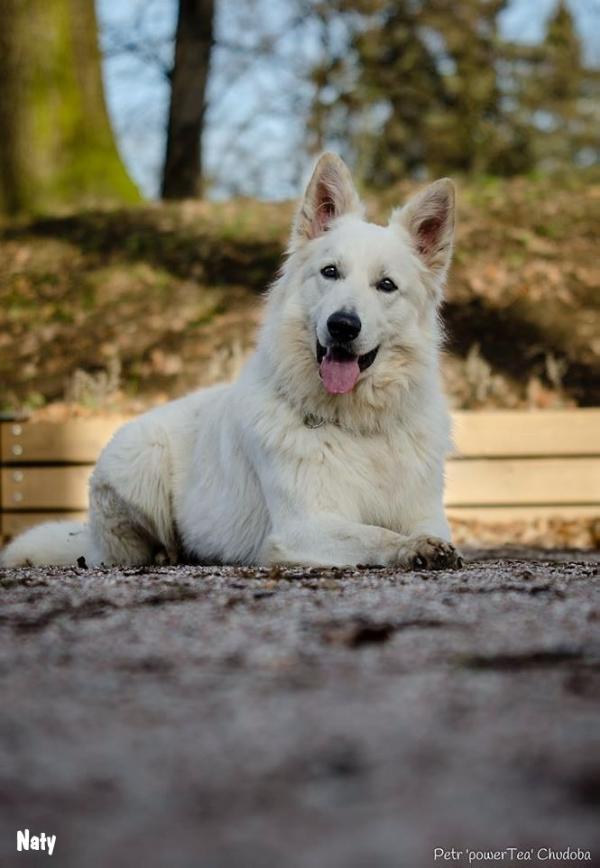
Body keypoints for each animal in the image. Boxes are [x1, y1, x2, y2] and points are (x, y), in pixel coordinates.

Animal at [1, 154, 464, 576]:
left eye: (386, 285)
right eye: (330, 272)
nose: (342, 326)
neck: (358, 426)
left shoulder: (427, 514)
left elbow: (418, 530)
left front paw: (425, 544)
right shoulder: (304, 527)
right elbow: (376, 534)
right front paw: (411, 548)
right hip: (140, 463)